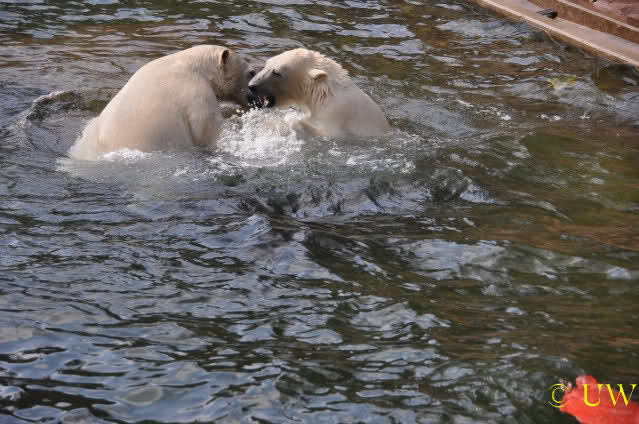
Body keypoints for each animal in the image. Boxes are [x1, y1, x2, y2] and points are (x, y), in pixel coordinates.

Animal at [247, 48, 390, 138]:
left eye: (277, 72)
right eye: (266, 64)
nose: (252, 86)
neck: (324, 93)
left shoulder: (337, 112)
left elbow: (327, 133)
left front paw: (288, 121)